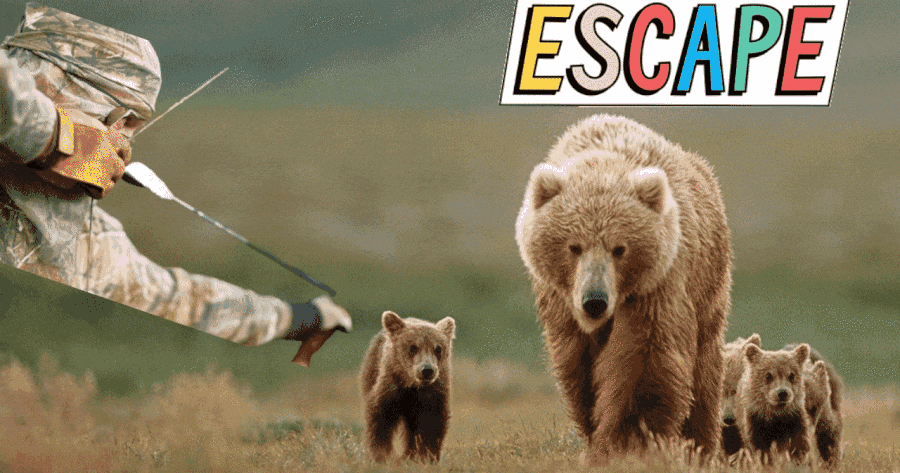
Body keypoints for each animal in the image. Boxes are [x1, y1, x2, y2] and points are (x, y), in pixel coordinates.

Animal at [359, 311, 456, 464]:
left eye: (438, 348)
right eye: (413, 347)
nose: (427, 370)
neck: (412, 386)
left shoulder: (433, 393)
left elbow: (431, 425)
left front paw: (426, 457)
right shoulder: (390, 387)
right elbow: (380, 419)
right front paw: (380, 455)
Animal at [514, 114, 734, 464]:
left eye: (620, 248)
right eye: (574, 246)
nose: (595, 301)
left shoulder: (656, 285)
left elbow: (643, 361)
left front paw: (627, 443)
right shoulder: (561, 304)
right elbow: (577, 368)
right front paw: (597, 434)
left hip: (707, 283)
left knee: (704, 368)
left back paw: (699, 445)